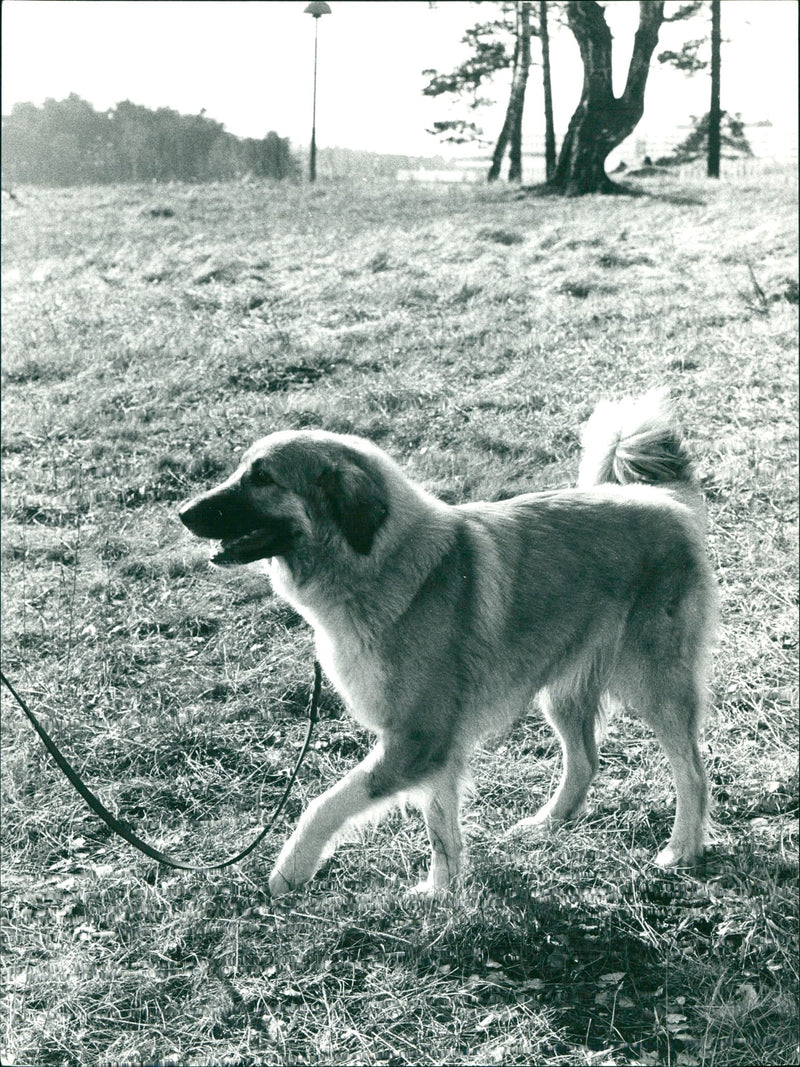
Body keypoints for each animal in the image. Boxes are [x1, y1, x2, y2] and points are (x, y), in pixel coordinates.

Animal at [181, 392, 721, 892]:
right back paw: (547, 823)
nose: (183, 512)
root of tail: (664, 500)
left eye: (263, 479)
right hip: (562, 688)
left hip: (655, 684)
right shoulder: (435, 746)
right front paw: (442, 893)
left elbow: (324, 804)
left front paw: (288, 871)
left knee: (692, 772)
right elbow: (440, 824)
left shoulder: (418, 738)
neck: (381, 565)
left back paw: (682, 849)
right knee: (585, 760)